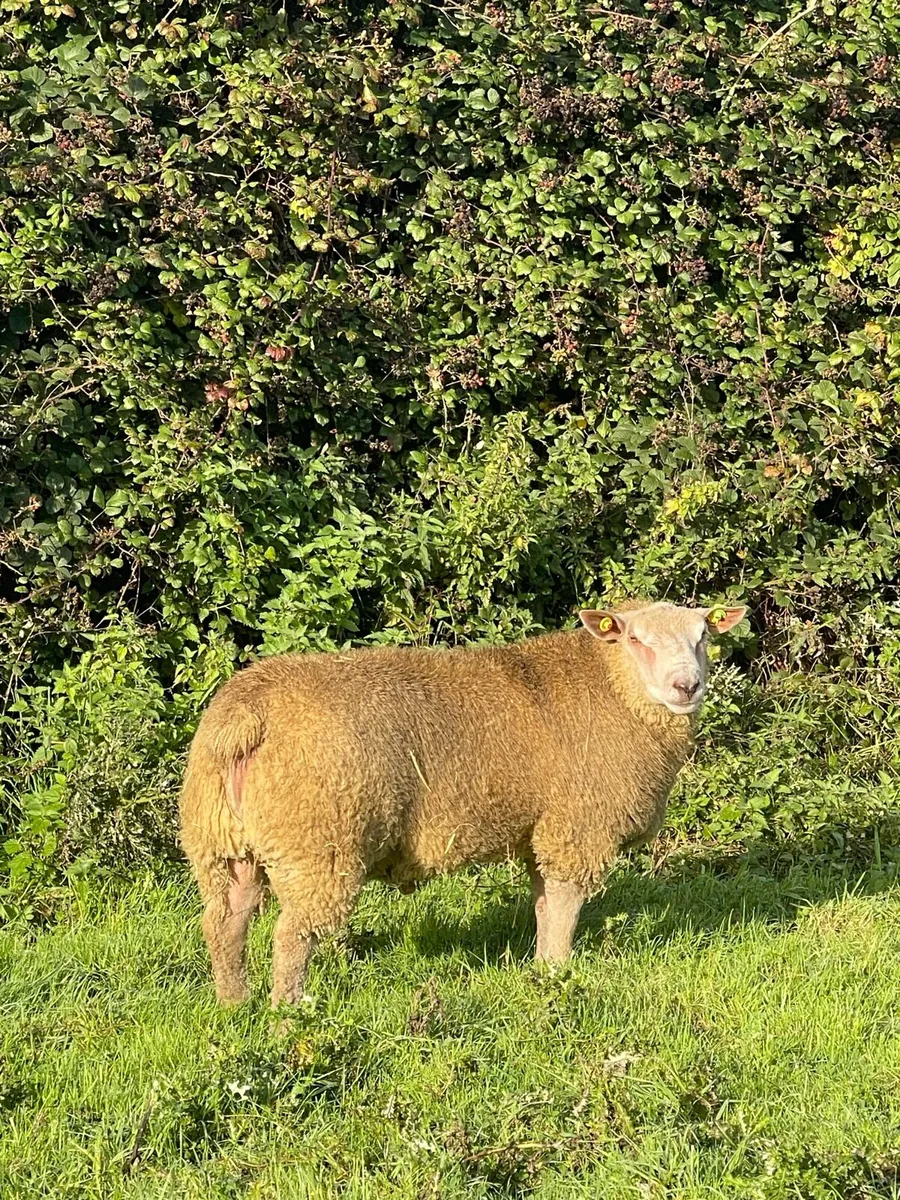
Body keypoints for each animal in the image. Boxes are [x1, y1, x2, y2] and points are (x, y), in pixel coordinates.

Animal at [180, 601, 746, 1006]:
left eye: (704, 636)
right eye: (634, 639)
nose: (687, 686)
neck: (614, 689)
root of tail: (247, 714)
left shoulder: (539, 827)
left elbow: (544, 904)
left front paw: (541, 970)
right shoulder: (576, 826)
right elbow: (564, 905)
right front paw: (559, 975)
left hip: (222, 841)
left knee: (225, 921)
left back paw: (234, 1005)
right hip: (319, 842)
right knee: (291, 935)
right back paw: (287, 1016)